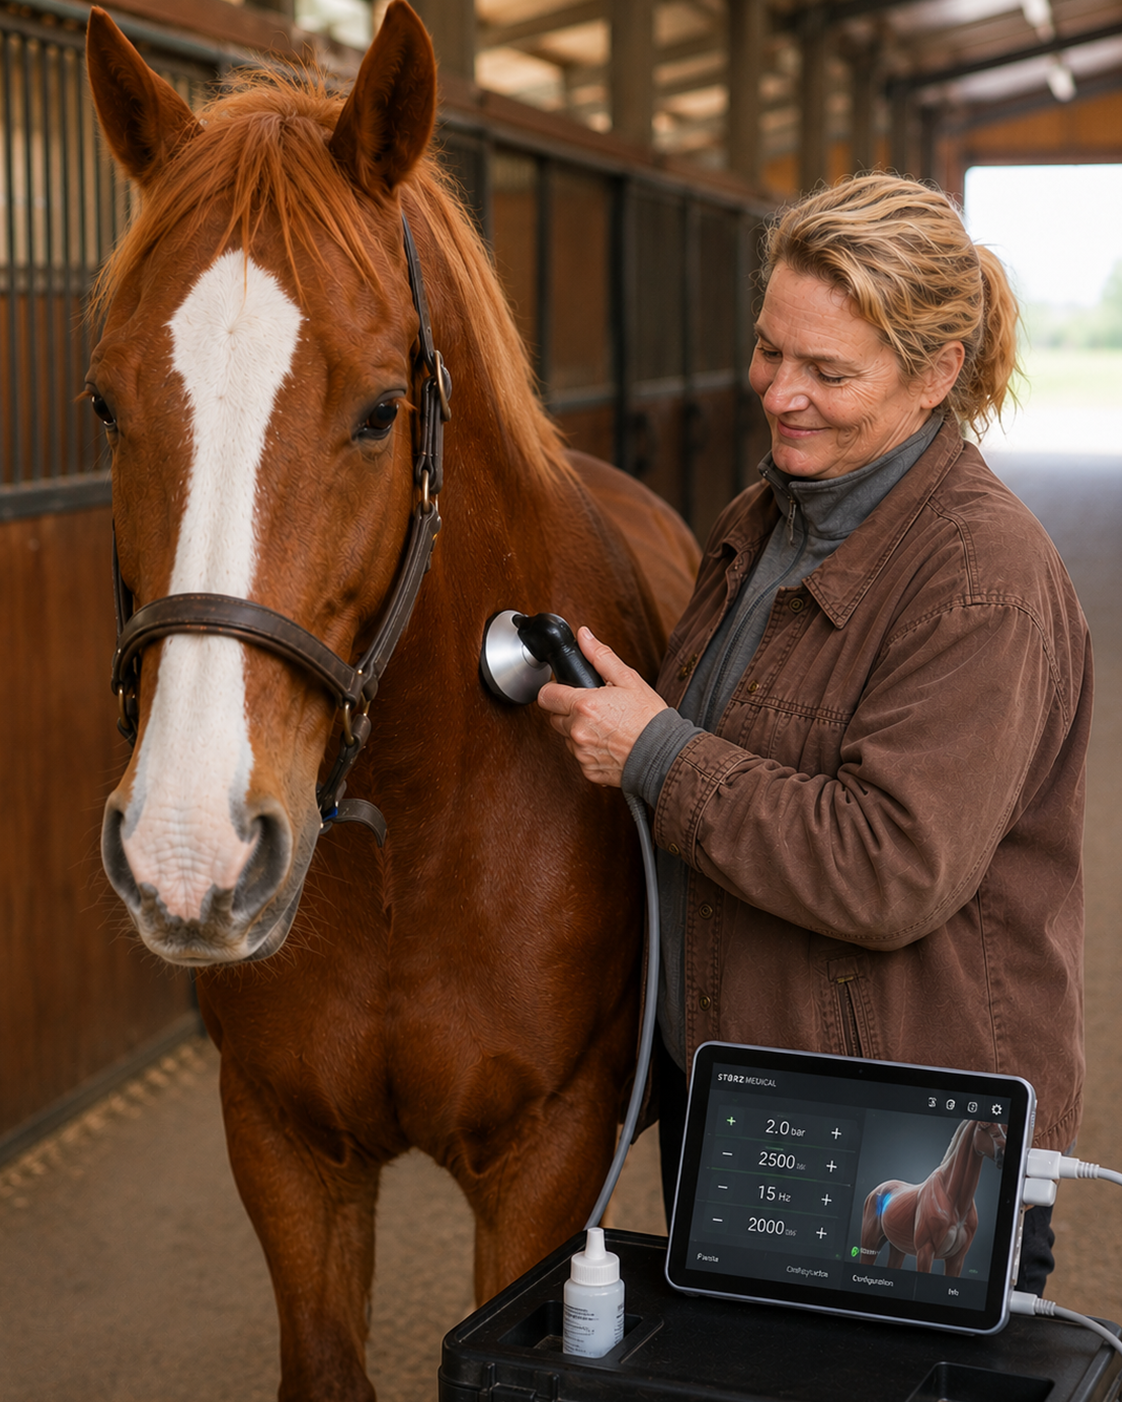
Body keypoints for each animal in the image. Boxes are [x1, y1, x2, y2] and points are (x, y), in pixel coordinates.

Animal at [84, 6, 700, 1398]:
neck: (406, 841)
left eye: (379, 409)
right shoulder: (286, 1147)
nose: (189, 852)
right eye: (103, 402)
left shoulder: (543, 1166)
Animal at [858, 1120, 1008, 1276]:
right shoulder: (925, 1252)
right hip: (871, 1244)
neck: (953, 1201)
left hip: (898, 1248)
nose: (1004, 1158)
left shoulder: (957, 1259)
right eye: (992, 1132)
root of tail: (875, 1191)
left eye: (1005, 1130)